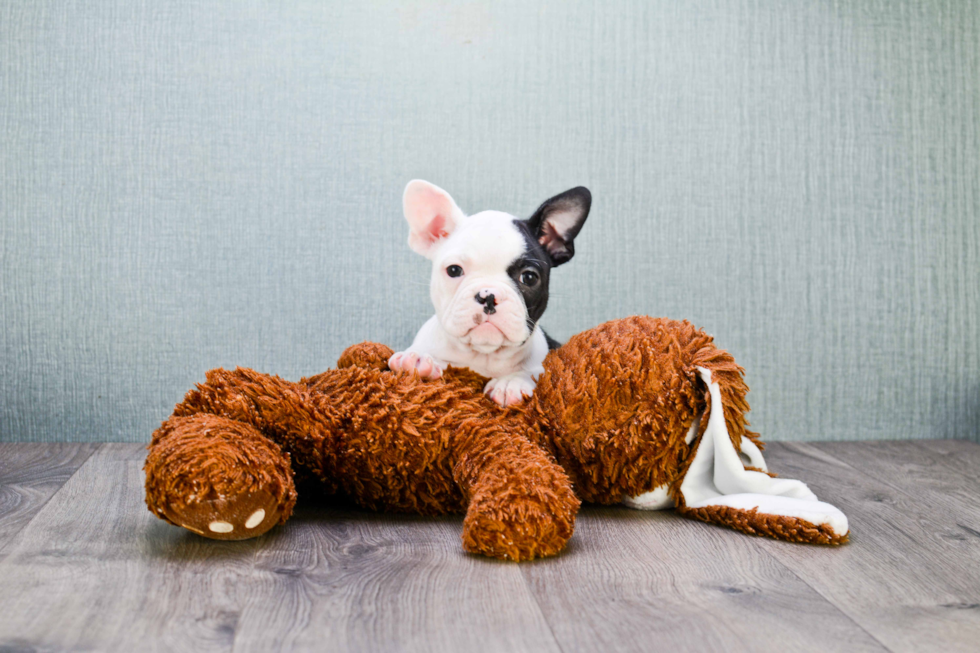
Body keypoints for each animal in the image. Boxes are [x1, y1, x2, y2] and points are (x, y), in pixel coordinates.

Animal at [388, 178, 588, 402]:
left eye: (529, 277)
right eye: (454, 270)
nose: (489, 296)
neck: (483, 355)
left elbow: (536, 370)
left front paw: (512, 380)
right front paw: (418, 359)